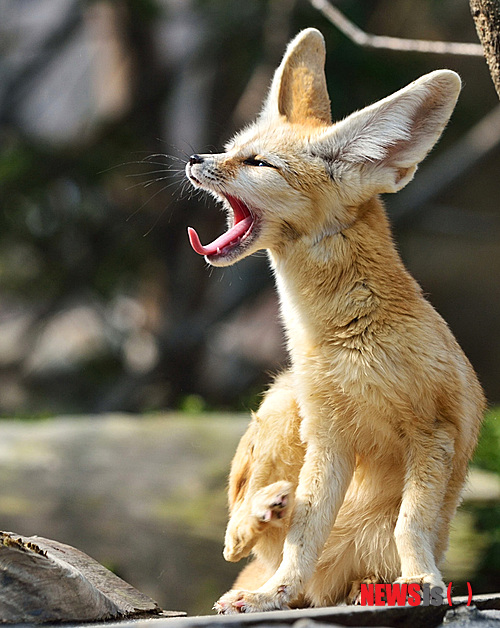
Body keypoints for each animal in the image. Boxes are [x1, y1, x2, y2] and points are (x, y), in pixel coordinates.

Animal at [184, 27, 484, 612]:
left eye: (257, 163)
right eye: (231, 149)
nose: (193, 157)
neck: (348, 342)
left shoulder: (432, 432)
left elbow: (409, 526)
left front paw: (421, 579)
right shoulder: (328, 436)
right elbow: (303, 537)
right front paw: (273, 595)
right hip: (283, 399)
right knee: (237, 542)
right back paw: (264, 533)